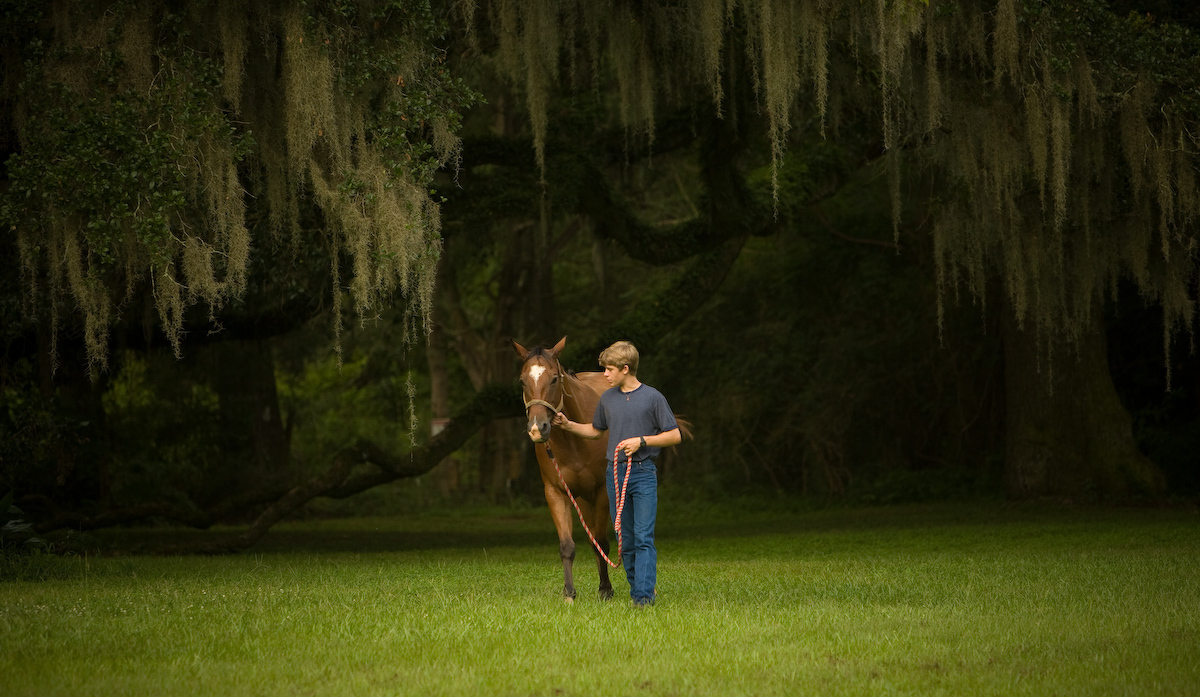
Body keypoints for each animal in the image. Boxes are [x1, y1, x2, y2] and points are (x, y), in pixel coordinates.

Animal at [511, 333, 614, 599]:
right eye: (522, 381)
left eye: (554, 379)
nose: (537, 428)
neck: (574, 442)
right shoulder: (556, 492)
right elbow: (567, 545)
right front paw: (569, 592)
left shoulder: (602, 491)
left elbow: (602, 541)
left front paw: (605, 589)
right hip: (582, 499)